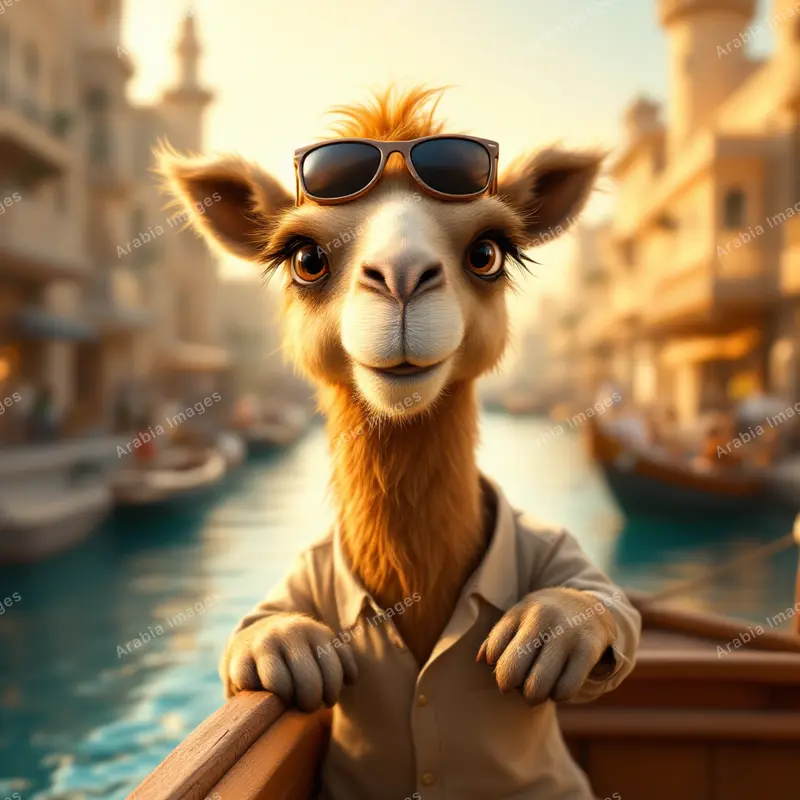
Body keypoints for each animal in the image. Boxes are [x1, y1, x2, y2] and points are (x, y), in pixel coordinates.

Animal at [160, 86, 641, 800]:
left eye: (488, 252)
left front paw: (555, 627)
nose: (403, 278)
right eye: (305, 258)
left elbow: (611, 606)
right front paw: (284, 647)